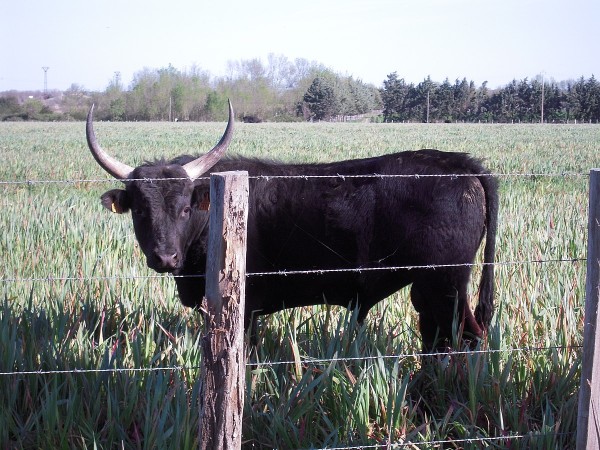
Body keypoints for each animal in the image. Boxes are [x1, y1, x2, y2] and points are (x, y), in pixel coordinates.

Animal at [85, 102, 496, 348]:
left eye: (185, 209)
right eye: (140, 210)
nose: (165, 258)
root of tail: (461, 163)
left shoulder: (244, 308)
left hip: (445, 285)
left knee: (466, 337)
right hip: (432, 290)